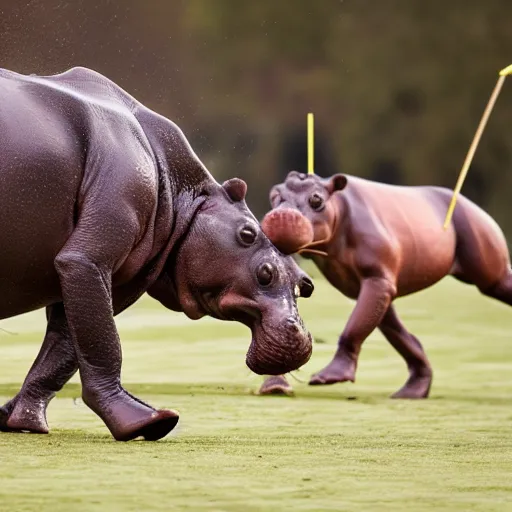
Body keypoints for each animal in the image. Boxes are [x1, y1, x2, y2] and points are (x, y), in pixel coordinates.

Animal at [0, 68, 316, 442]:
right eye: (248, 236)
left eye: (304, 284)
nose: (302, 334)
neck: (186, 196)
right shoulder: (87, 260)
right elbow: (102, 344)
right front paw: (153, 423)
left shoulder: (107, 278)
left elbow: (62, 349)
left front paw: (21, 421)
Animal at [260, 170, 512, 398]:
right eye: (274, 196)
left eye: (316, 200)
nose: (281, 218)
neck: (337, 205)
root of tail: (474, 206)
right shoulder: (371, 283)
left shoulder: (377, 278)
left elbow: (356, 324)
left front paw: (329, 378)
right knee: (392, 321)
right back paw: (411, 393)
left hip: (474, 223)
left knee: (495, 283)